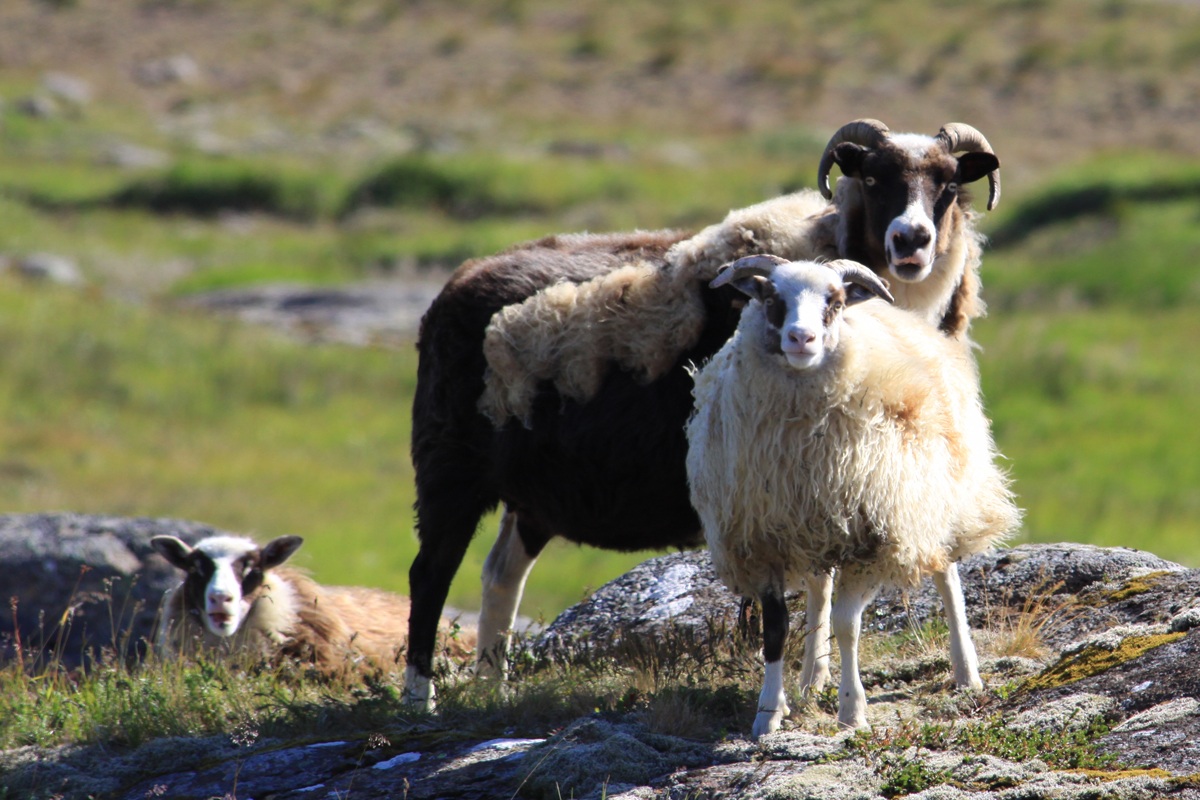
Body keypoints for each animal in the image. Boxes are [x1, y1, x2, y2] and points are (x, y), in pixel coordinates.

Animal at [405, 120, 1001, 708]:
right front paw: (812, 680)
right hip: (448, 469)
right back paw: (420, 697)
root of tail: (458, 282)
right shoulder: (792, 470)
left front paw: (858, 677)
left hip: (533, 495)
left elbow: (882, 573)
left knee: (500, 576)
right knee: (430, 573)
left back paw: (491, 691)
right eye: (873, 178)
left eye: (949, 184)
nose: (911, 240)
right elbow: (821, 580)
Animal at [686, 255, 1020, 735]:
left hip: (933, 499)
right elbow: (776, 630)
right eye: (770, 297)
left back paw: (966, 672)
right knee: (819, 592)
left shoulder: (871, 538)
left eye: (836, 302)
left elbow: (849, 626)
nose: (801, 338)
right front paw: (769, 713)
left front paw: (851, 709)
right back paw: (812, 678)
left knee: (946, 575)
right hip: (816, 531)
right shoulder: (763, 540)